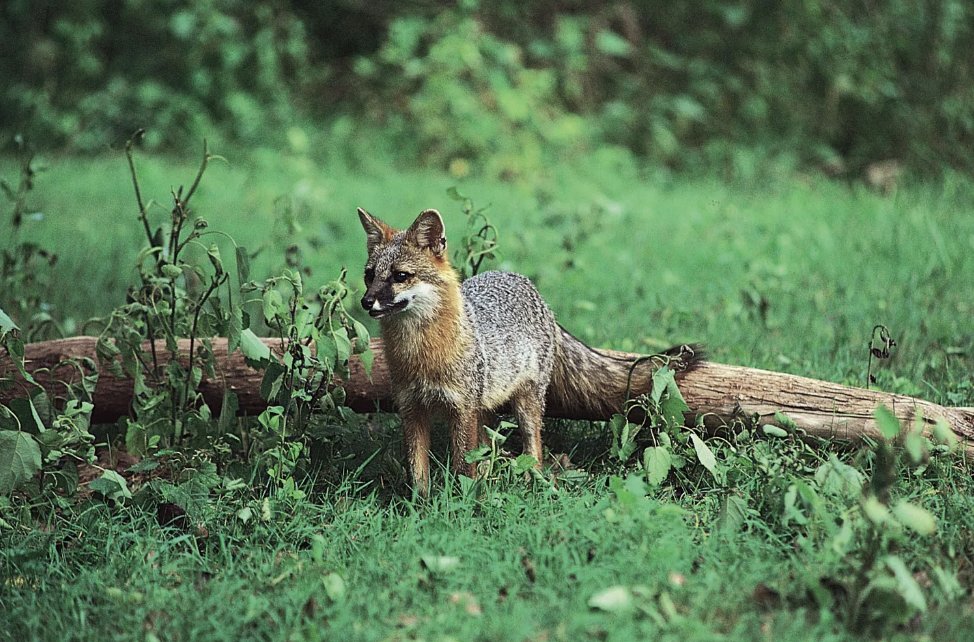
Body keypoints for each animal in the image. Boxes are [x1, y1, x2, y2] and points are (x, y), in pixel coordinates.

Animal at [357, 207, 701, 495]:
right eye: (369, 275)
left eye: (400, 276)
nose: (365, 301)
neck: (420, 354)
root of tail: (524, 282)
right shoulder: (412, 409)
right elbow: (418, 474)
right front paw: (421, 509)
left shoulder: (462, 410)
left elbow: (463, 468)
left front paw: (460, 504)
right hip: (486, 409)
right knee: (489, 449)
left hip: (526, 405)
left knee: (533, 450)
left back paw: (529, 481)